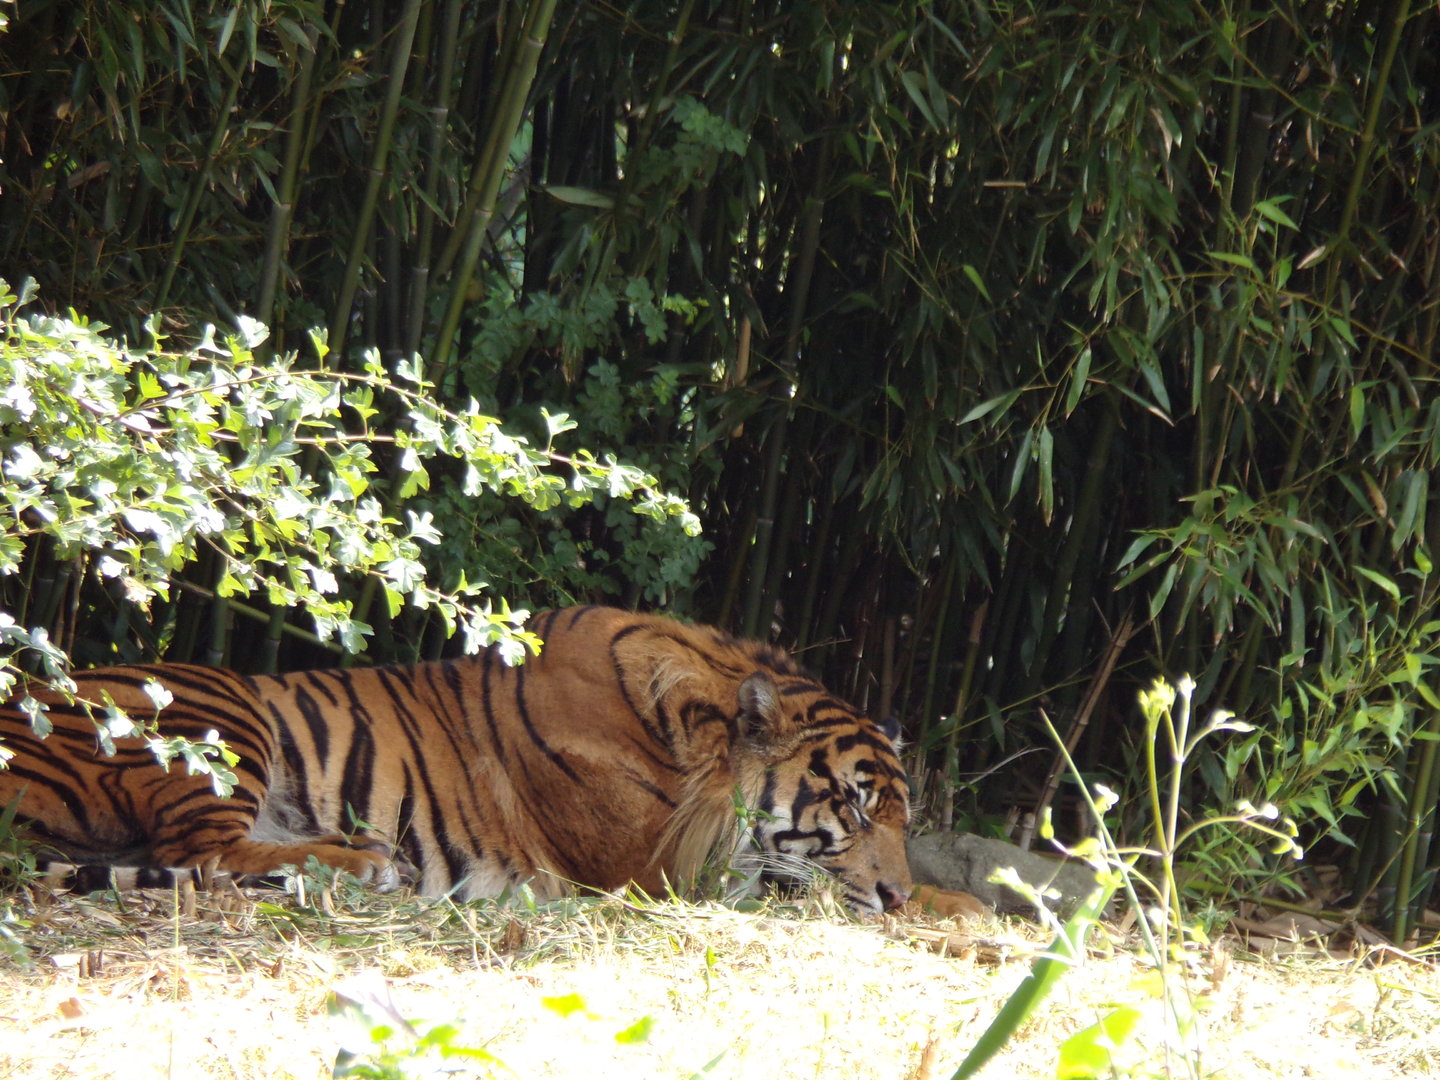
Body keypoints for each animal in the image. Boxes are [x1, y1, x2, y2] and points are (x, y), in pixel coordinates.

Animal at [0, 606, 913, 914]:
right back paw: (364, 862)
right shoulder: (657, 869)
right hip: (219, 707)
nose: (896, 896)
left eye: (907, 820)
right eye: (853, 806)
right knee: (203, 852)